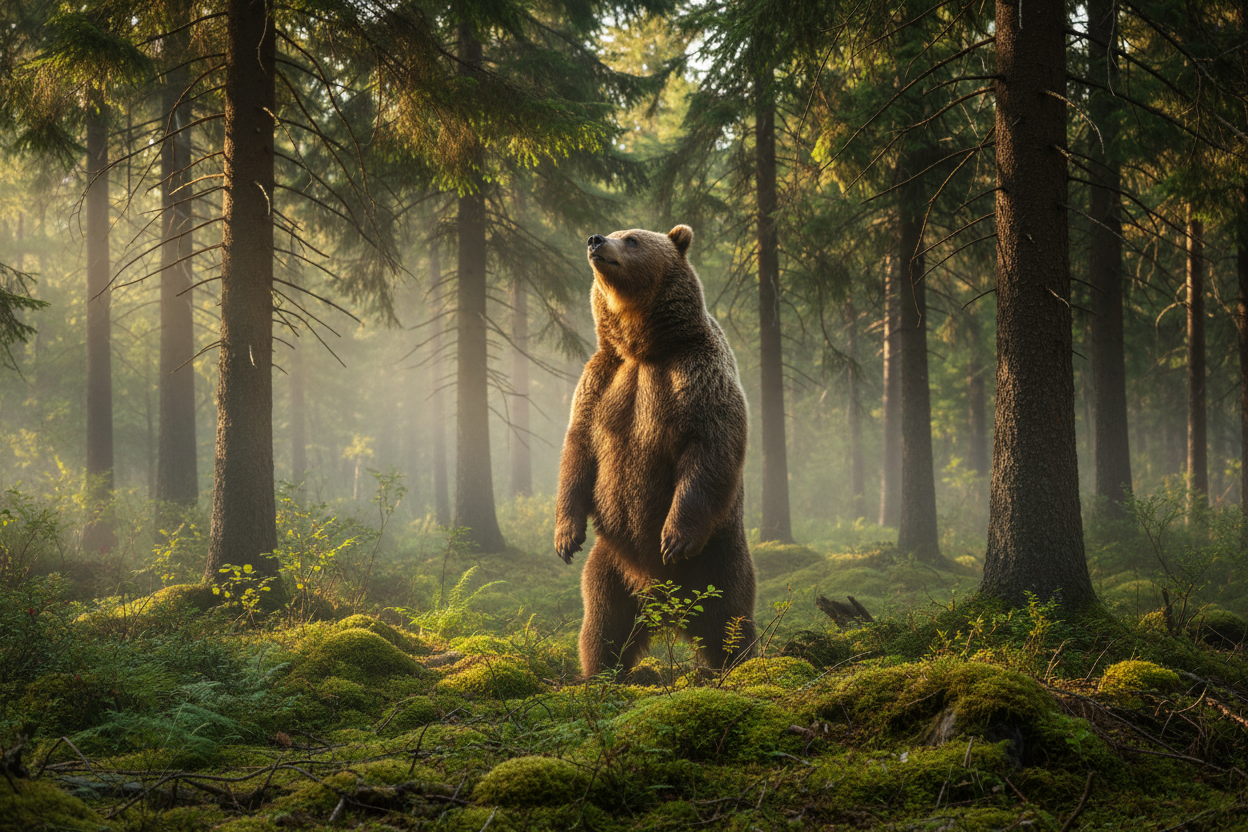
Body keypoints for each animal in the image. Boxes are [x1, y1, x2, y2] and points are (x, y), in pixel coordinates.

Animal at [554, 224, 756, 678]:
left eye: (631, 238)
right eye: (613, 231)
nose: (595, 240)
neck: (643, 348)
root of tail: (666, 605)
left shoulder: (694, 373)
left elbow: (708, 447)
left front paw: (673, 538)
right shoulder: (601, 379)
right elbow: (578, 448)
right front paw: (565, 537)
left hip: (719, 555)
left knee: (729, 617)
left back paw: (739, 663)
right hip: (611, 560)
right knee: (603, 620)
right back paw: (600, 672)